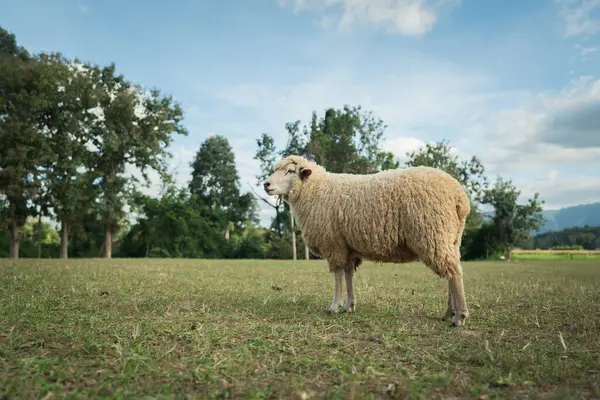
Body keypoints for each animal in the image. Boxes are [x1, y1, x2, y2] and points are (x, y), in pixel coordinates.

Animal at [262, 155, 474, 326]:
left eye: (290, 171)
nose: (266, 184)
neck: (315, 190)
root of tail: (460, 197)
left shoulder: (333, 243)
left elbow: (337, 275)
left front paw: (335, 305)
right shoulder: (347, 245)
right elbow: (348, 274)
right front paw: (349, 305)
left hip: (433, 233)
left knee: (454, 272)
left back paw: (459, 316)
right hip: (451, 237)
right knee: (452, 271)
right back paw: (448, 312)